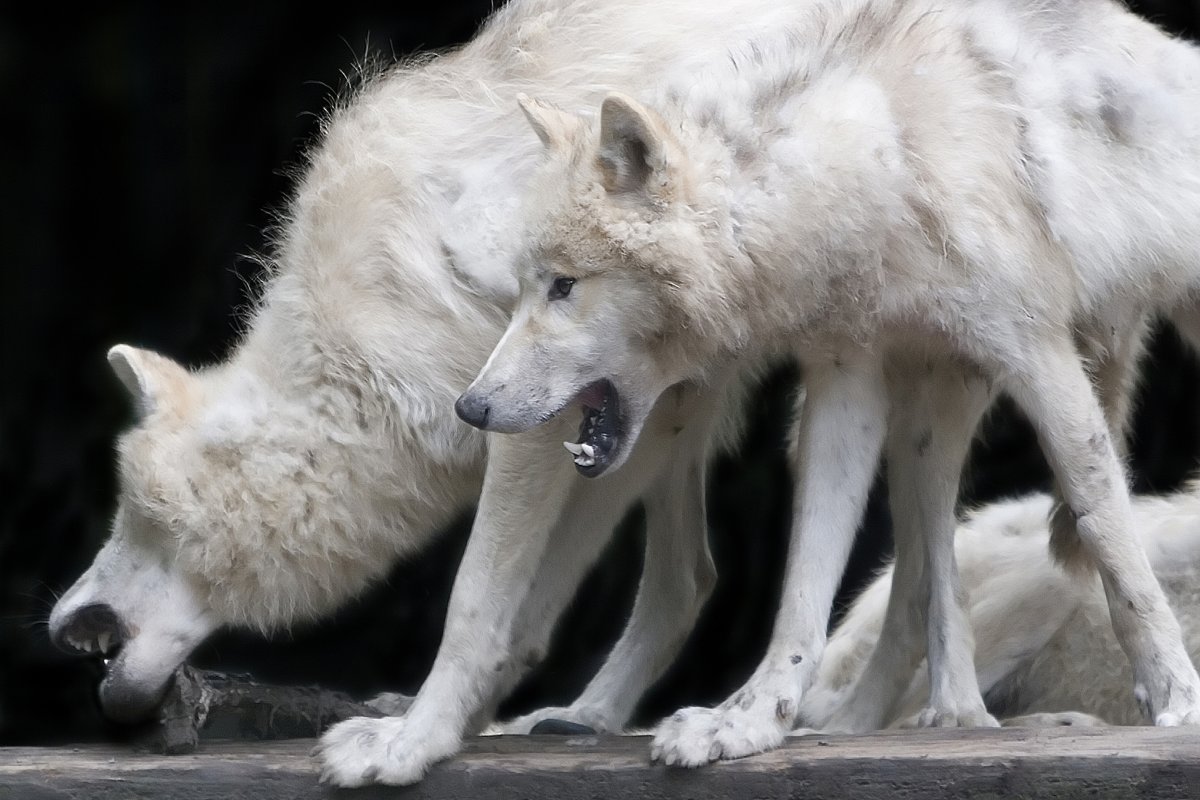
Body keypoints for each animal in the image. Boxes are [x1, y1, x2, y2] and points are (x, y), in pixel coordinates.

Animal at [460, 0, 1200, 777]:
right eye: (524, 287)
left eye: (565, 285)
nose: (470, 407)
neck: (878, 175)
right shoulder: (848, 380)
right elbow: (805, 589)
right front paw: (749, 720)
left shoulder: (1038, 356)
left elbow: (1111, 534)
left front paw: (1175, 694)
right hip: (929, 418)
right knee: (922, 581)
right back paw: (930, 716)